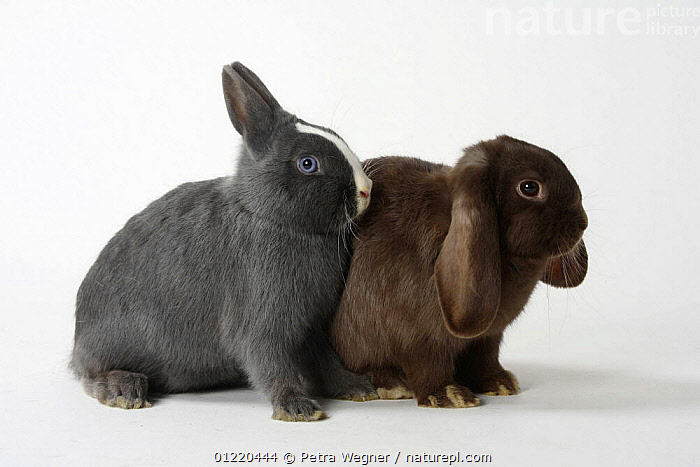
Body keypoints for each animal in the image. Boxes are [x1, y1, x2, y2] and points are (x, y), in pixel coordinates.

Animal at [71, 62, 378, 422]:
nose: (366, 190)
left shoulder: (311, 326)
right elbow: (270, 363)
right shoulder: (261, 320)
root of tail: (77, 342)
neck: (271, 217)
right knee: (92, 376)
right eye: (308, 163)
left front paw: (358, 388)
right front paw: (297, 408)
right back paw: (126, 391)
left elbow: (326, 361)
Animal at [330, 135, 588, 408]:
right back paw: (391, 384)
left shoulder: (486, 338)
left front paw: (500, 383)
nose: (582, 223)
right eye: (529, 187)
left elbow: (485, 359)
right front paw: (450, 395)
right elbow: (428, 366)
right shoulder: (420, 339)